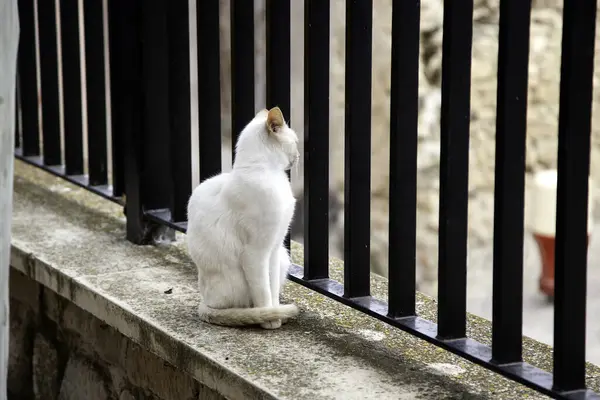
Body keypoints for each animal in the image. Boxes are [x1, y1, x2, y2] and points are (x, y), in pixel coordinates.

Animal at [186, 106, 298, 328]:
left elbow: (272, 290)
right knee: (245, 305)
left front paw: (276, 315)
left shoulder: (273, 248)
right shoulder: (256, 253)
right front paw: (270, 321)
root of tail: (205, 300)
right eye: (296, 142)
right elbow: (263, 294)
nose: (298, 155)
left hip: (282, 256)